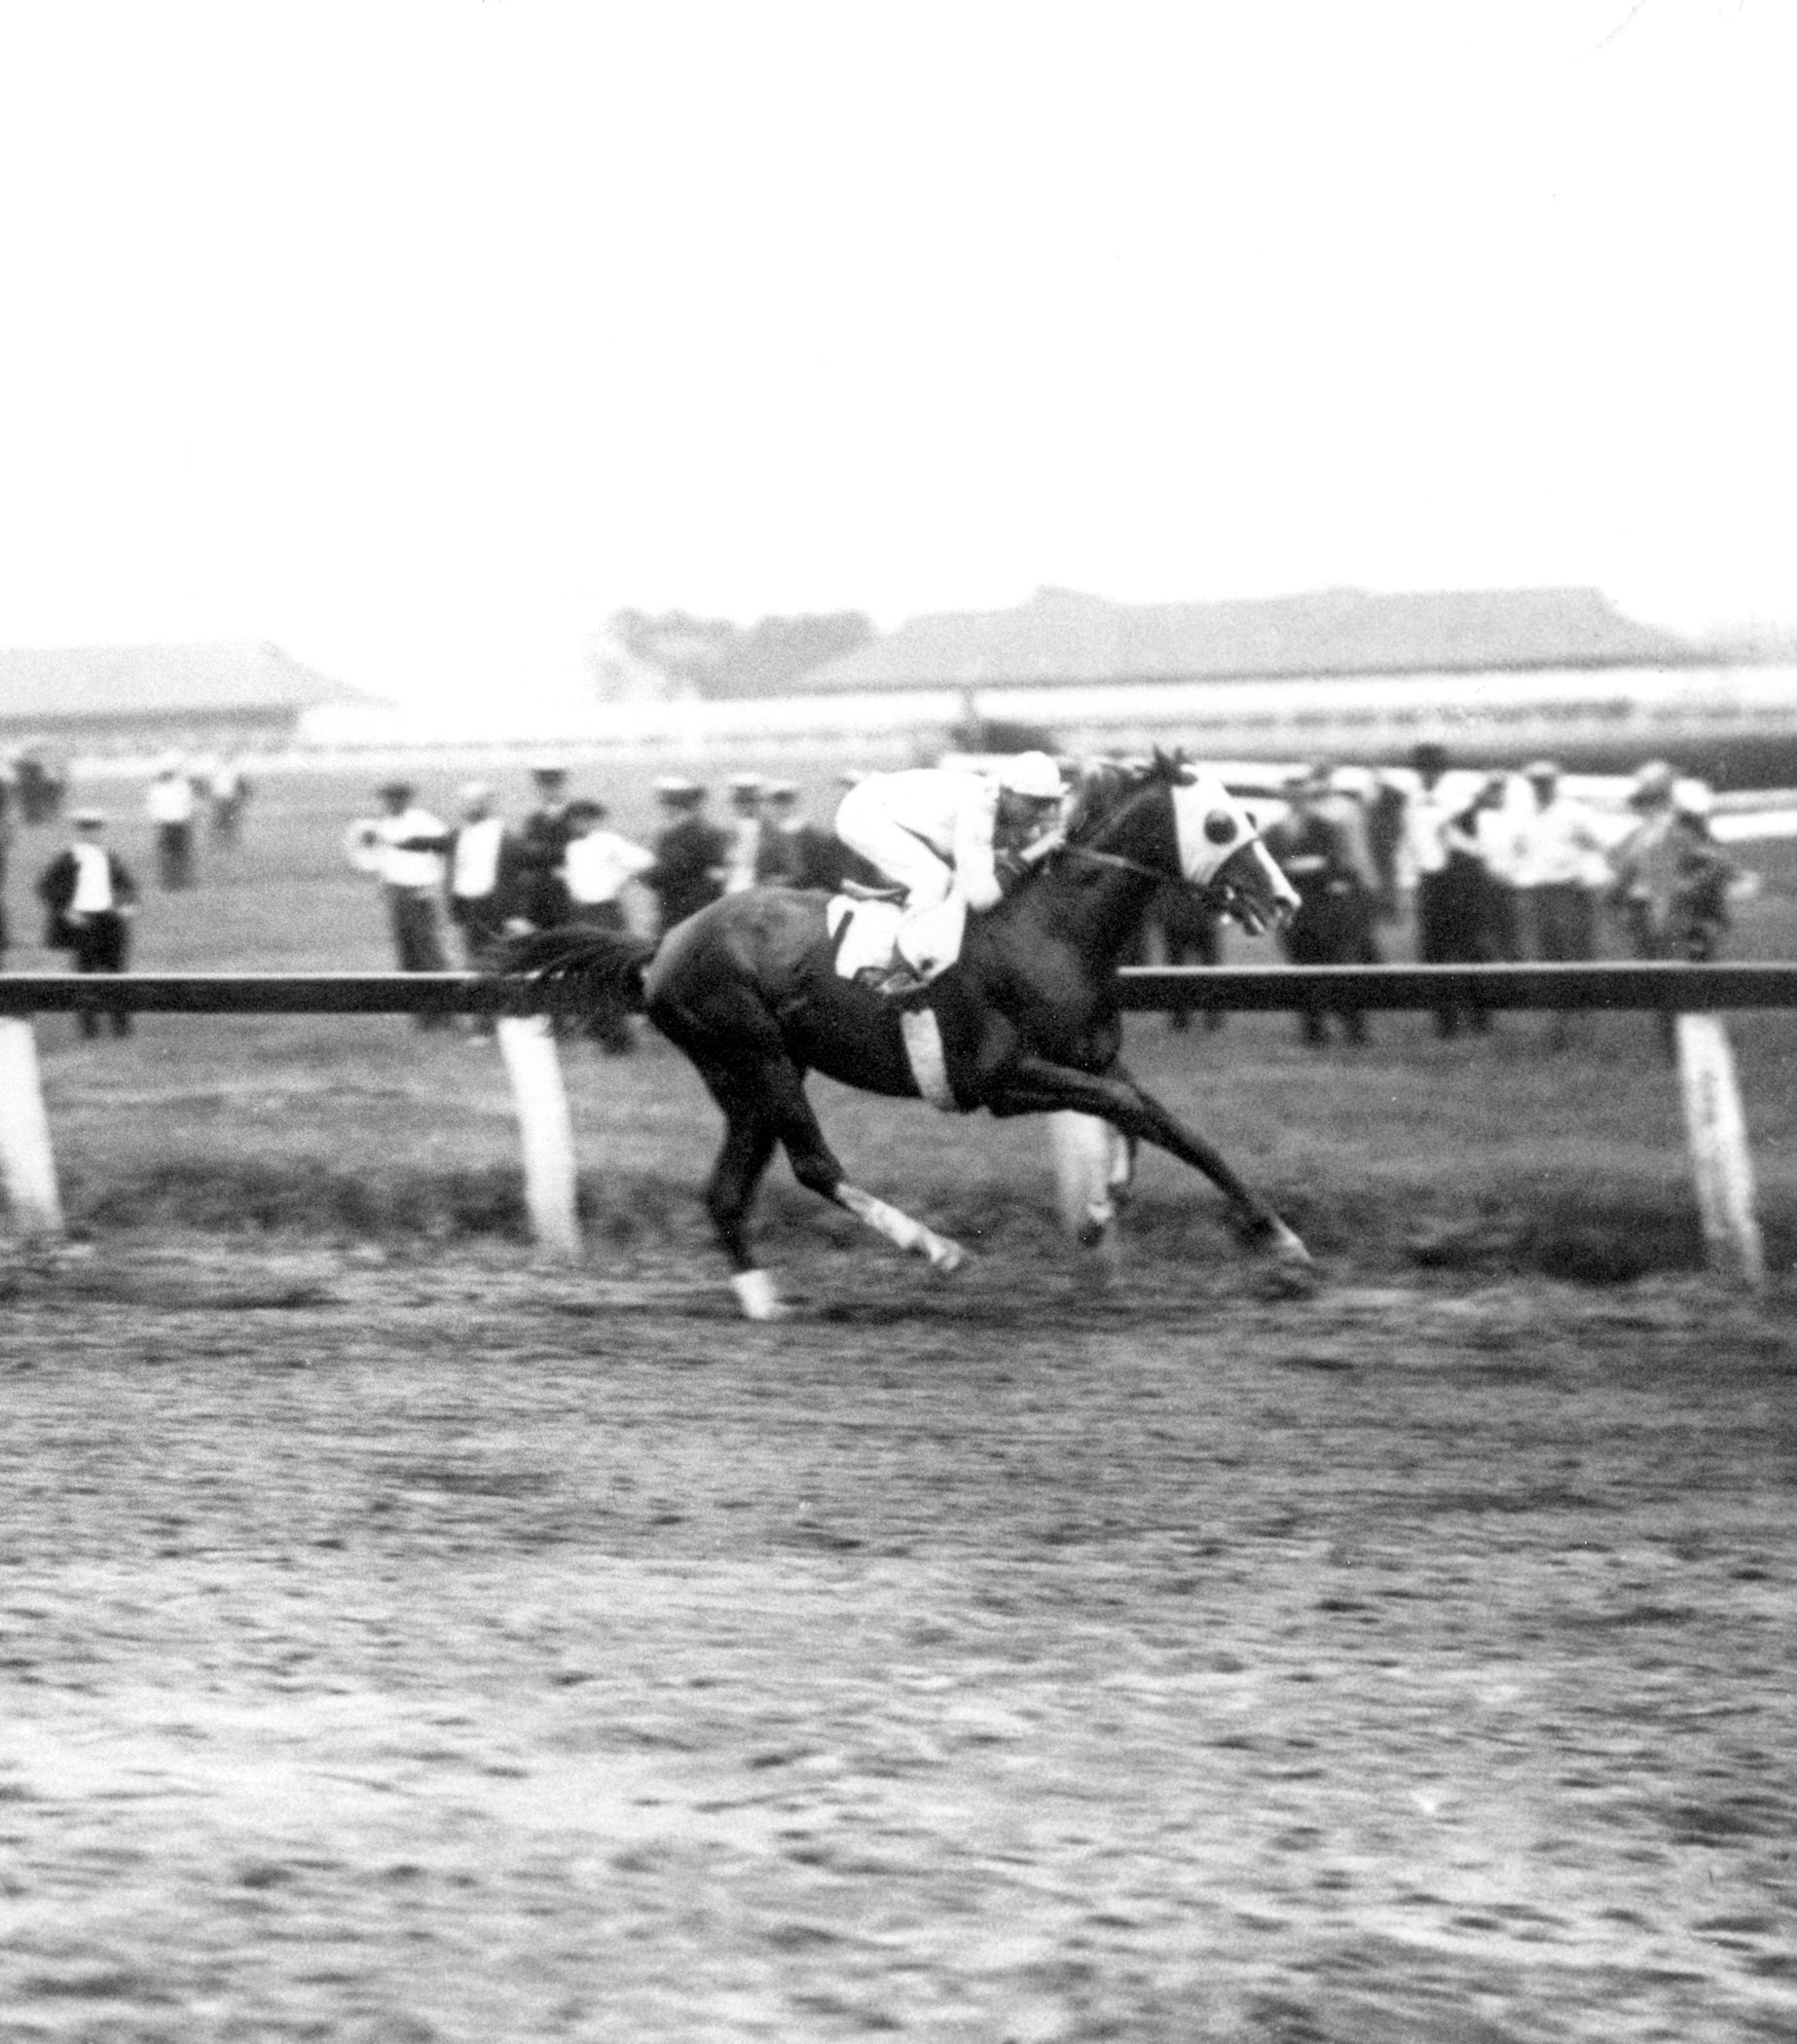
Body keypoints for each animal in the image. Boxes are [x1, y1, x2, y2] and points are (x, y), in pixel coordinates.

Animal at [502, 760, 1308, 1316]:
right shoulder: (999, 1079)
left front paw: (1279, 1242)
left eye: (1244, 813)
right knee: (814, 1165)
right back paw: (938, 1249)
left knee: (727, 1191)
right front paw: (1105, 1215)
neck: (1048, 933)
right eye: (1221, 824)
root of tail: (663, 942)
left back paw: (763, 1301)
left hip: (747, 1078)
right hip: (757, 1057)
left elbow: (1165, 1125)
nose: (1286, 898)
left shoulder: (1094, 1057)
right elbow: (1128, 1110)